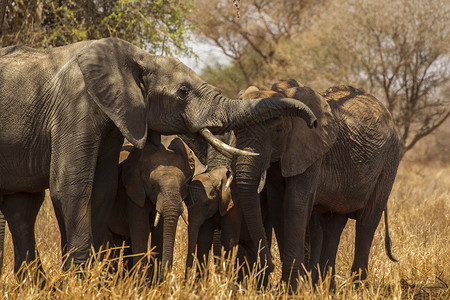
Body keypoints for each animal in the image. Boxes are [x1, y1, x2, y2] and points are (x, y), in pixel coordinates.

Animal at [0, 39, 318, 276]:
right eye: (183, 92)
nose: (313, 122)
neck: (140, 58)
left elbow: (102, 189)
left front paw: (96, 276)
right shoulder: (75, 106)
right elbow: (72, 186)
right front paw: (80, 279)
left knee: (21, 208)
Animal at [232, 80, 400, 290]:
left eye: (278, 130)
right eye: (235, 130)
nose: (269, 265)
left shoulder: (312, 149)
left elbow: (295, 203)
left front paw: (290, 289)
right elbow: (279, 205)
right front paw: (290, 287)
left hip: (389, 161)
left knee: (367, 221)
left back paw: (357, 289)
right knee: (334, 224)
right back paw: (328, 289)